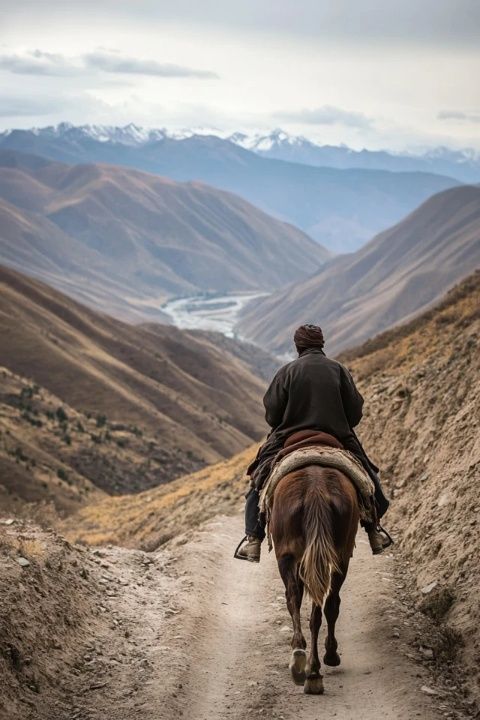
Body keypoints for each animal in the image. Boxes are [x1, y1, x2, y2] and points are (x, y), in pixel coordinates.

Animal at [270, 464, 360, 696]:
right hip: (337, 556)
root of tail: (315, 489)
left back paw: (305, 661)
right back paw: (314, 667)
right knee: (325, 605)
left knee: (297, 599)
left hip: (289, 555)